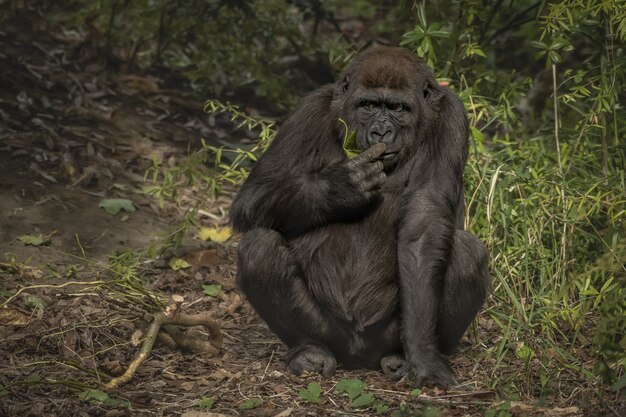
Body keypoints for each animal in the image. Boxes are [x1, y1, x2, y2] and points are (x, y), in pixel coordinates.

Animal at [228, 46, 488, 386]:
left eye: (397, 108)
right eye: (368, 106)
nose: (381, 131)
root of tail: (358, 356)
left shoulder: (451, 116)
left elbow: (424, 223)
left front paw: (423, 355)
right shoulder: (310, 109)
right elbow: (252, 196)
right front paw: (337, 188)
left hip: (386, 336)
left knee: (467, 254)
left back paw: (401, 356)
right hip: (332, 333)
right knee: (259, 247)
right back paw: (308, 348)